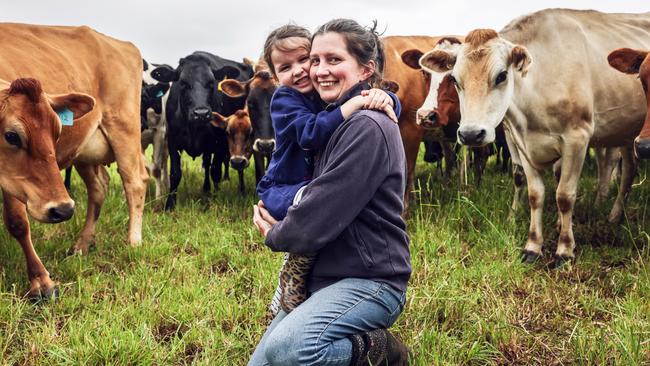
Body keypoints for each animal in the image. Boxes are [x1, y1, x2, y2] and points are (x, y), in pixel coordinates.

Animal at [151, 52, 254, 210]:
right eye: (183, 83)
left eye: (211, 83)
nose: (201, 113)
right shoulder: (173, 142)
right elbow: (175, 173)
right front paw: (170, 204)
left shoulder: (219, 142)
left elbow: (215, 171)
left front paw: (214, 200)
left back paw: (238, 190)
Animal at [426, 8, 648, 266]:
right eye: (454, 79)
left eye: (502, 76)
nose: (471, 133)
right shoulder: (522, 144)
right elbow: (535, 195)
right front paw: (532, 247)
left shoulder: (577, 138)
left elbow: (564, 195)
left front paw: (564, 249)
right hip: (626, 134)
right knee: (628, 168)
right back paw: (612, 214)